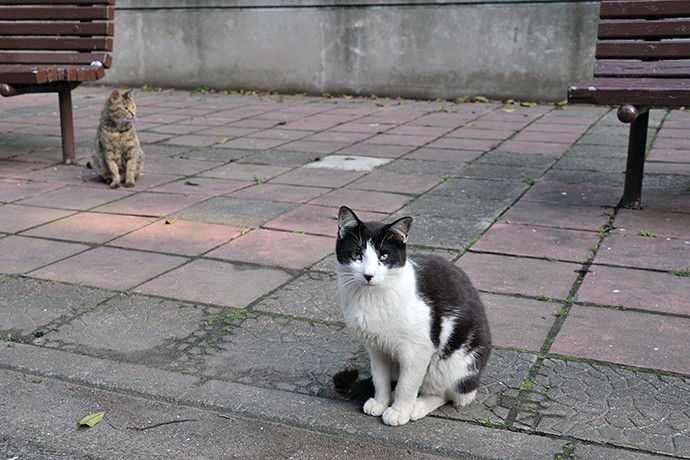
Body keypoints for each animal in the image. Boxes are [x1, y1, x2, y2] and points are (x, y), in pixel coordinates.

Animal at [332, 207, 490, 426]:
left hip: (456, 364)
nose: (368, 275)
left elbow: (407, 385)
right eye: (357, 254)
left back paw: (418, 406)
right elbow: (379, 378)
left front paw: (399, 411)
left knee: (449, 394)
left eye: (384, 255)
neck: (373, 298)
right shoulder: (376, 347)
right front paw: (380, 401)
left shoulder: (418, 349)